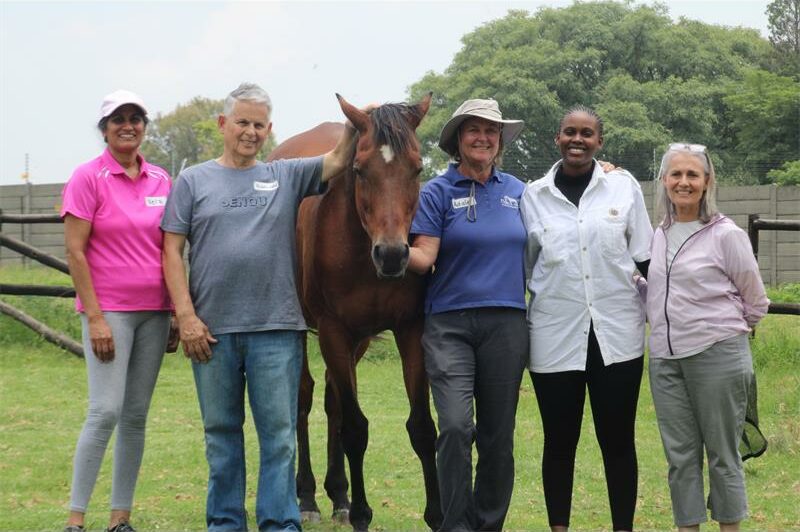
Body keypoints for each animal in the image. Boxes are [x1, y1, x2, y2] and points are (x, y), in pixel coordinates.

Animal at [267, 93, 441, 532]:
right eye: (360, 170)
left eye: (417, 168)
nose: (393, 254)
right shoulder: (332, 330)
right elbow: (356, 430)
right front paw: (362, 512)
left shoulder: (410, 330)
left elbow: (421, 426)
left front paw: (437, 513)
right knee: (304, 399)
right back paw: (307, 496)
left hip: (358, 340)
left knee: (333, 402)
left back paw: (339, 494)